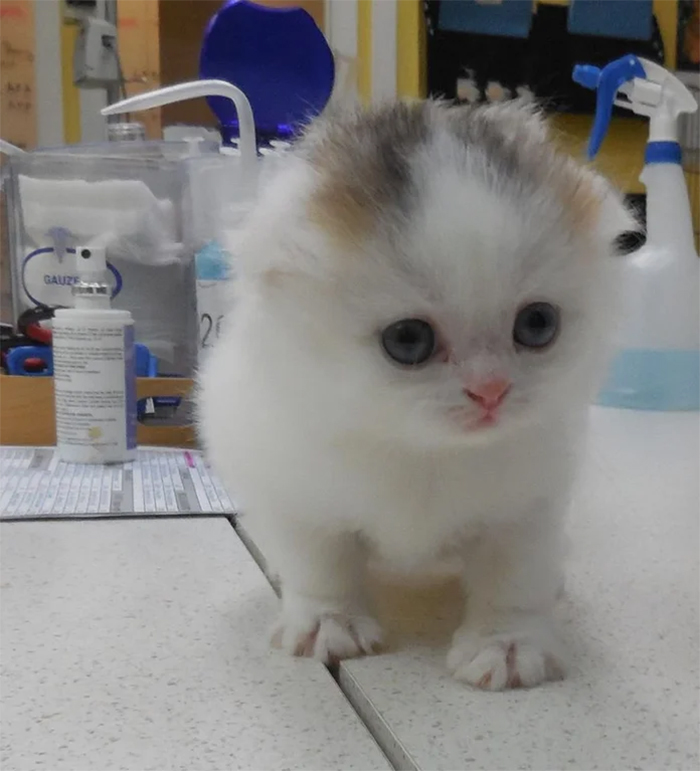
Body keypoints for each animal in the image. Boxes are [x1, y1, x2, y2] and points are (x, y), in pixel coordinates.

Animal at [198, 99, 636, 692]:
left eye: (538, 324)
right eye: (408, 340)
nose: (491, 391)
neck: (422, 449)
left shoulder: (531, 505)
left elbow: (514, 574)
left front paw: (508, 642)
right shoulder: (292, 488)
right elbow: (319, 560)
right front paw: (326, 619)